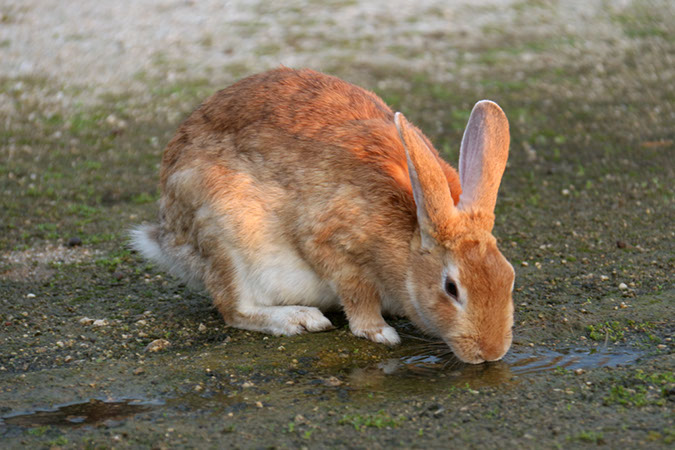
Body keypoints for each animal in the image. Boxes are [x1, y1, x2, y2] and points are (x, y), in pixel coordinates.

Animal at [130, 67, 515, 364]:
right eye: (452, 288)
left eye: (509, 276)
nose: (491, 352)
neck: (411, 239)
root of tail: (169, 238)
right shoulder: (329, 243)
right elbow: (356, 292)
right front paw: (379, 332)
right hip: (224, 234)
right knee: (234, 308)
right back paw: (300, 319)